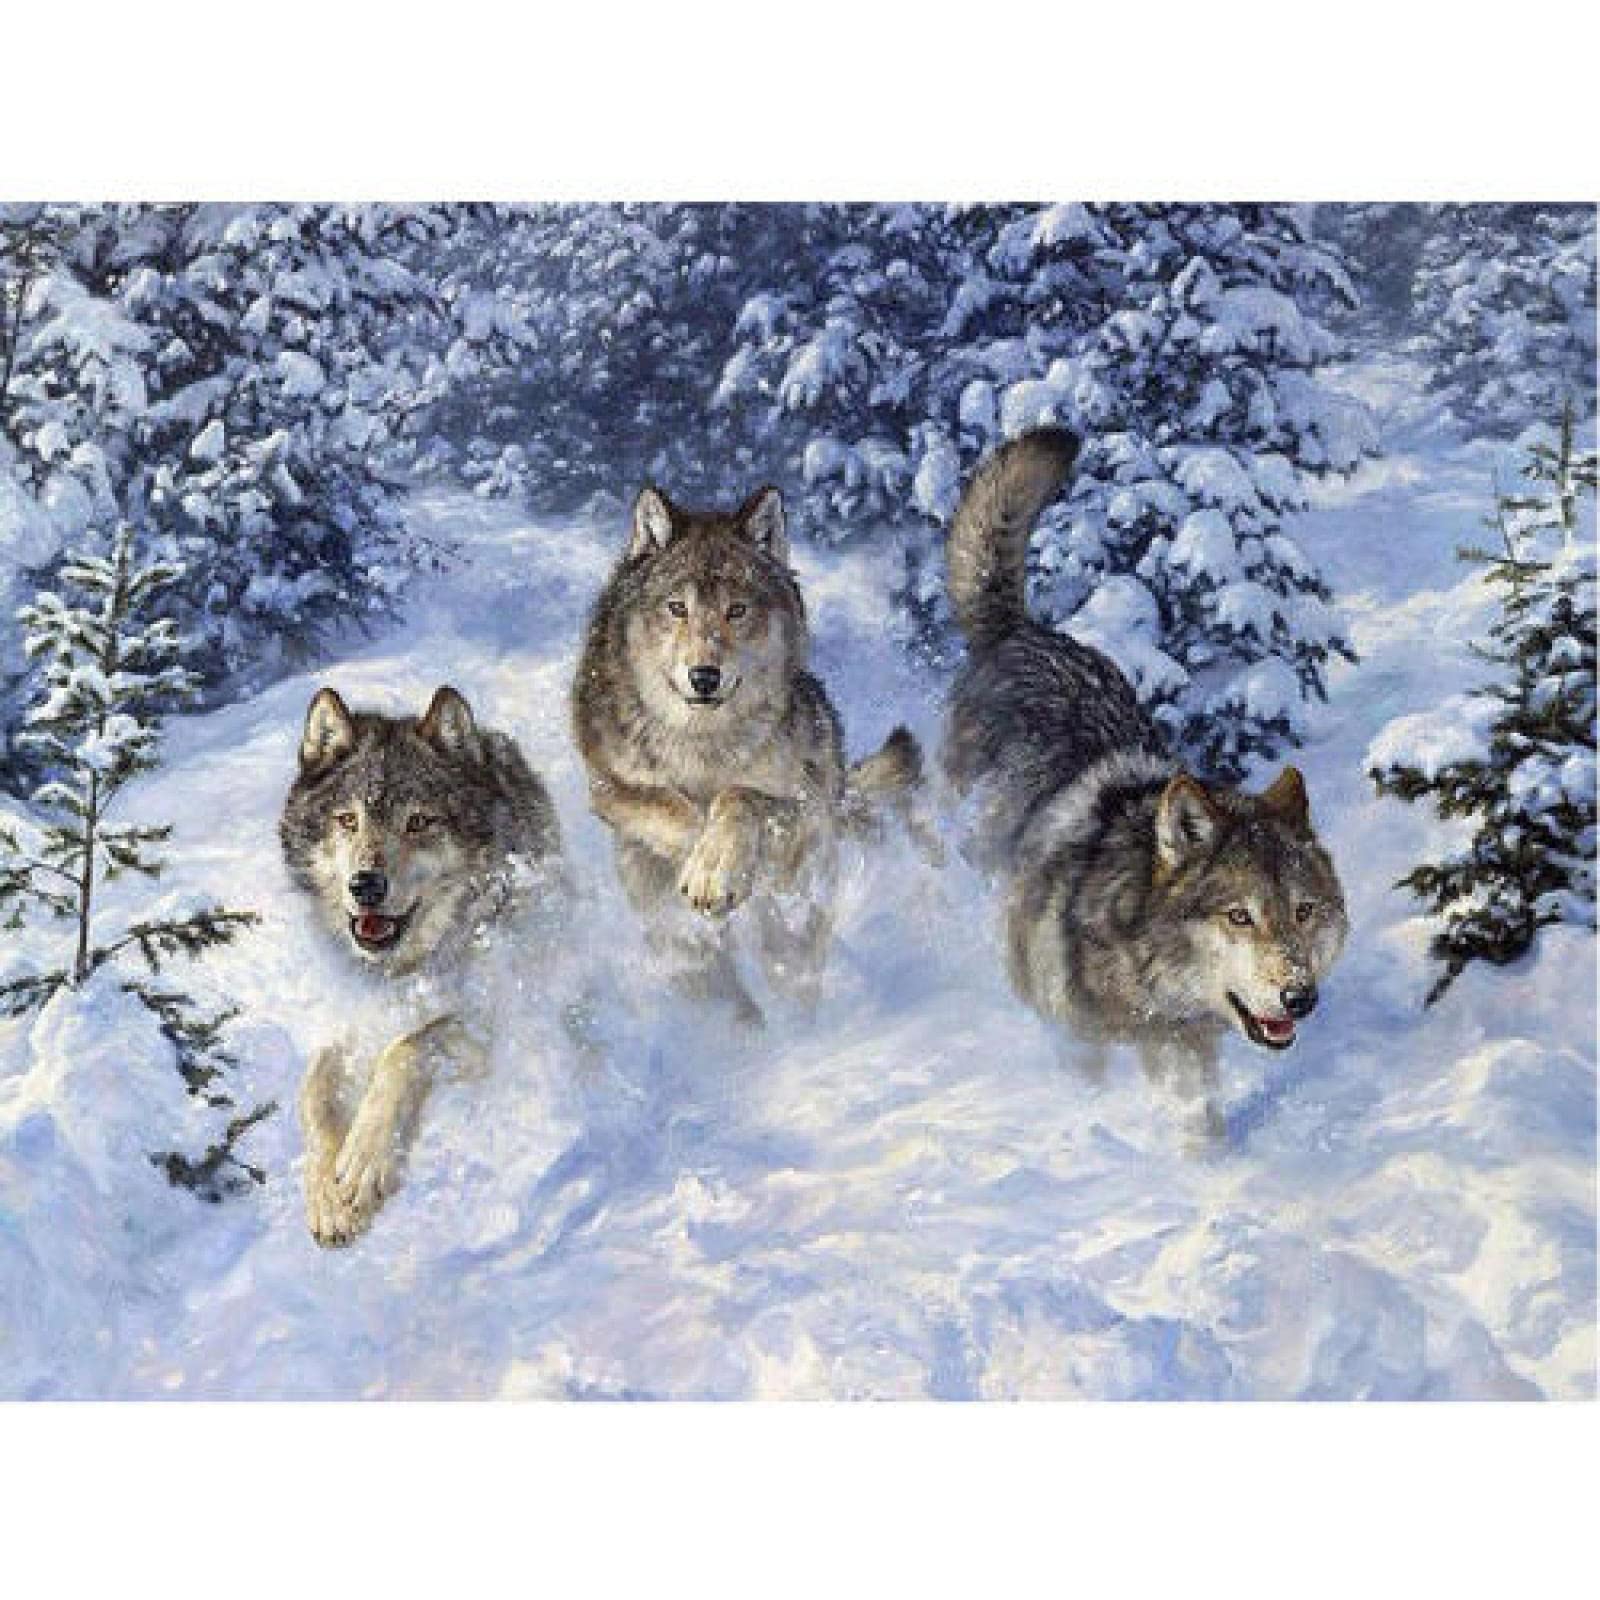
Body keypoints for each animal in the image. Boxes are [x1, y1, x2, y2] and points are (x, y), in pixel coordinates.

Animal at [280, 684, 561, 1246]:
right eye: (347, 820)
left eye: (418, 822)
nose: (365, 885)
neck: (401, 972)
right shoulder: (349, 1021)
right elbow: (313, 1093)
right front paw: (326, 1192)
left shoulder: (483, 1021)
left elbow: (406, 1048)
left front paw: (362, 1162)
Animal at [574, 482, 922, 1022]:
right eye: (677, 608)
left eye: (737, 611)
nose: (704, 676)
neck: (704, 743)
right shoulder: (611, 789)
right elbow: (671, 805)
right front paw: (701, 857)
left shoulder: (806, 808)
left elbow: (740, 796)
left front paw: (716, 867)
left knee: (791, 969)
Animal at [945, 428, 1348, 1091]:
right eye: (1239, 917)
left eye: (1304, 911)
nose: (1301, 997)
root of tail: (1021, 632)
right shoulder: (1074, 1041)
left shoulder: (1182, 1042)